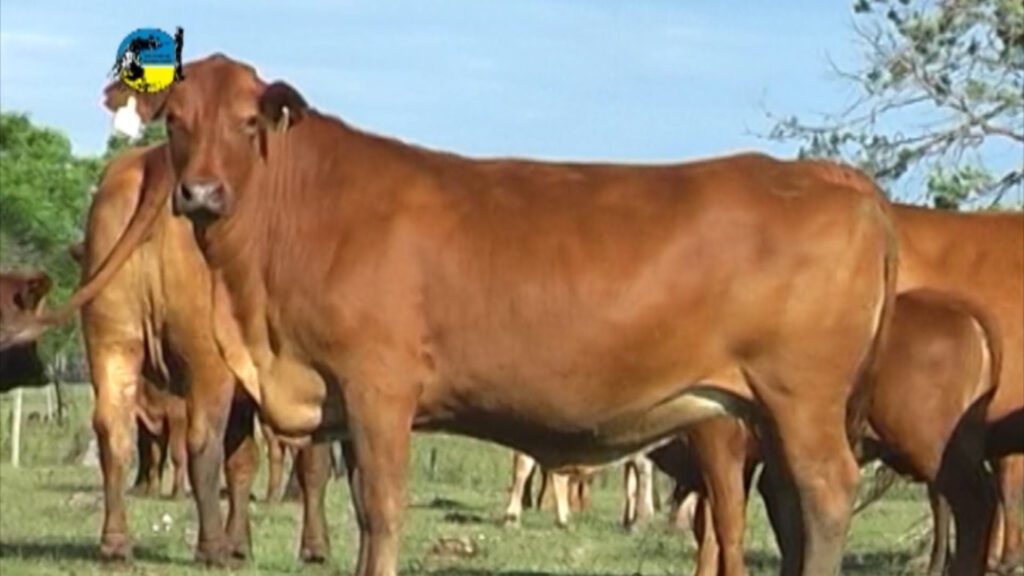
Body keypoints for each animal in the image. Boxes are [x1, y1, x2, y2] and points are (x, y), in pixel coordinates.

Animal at [16, 54, 898, 576]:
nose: (199, 193)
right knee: (788, 504)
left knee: (823, 496)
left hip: (800, 401)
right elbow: (353, 498)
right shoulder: (339, 400)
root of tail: (835, 181)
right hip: (764, 410)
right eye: (176, 121)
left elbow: (381, 508)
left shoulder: (378, 387)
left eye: (247, 120)